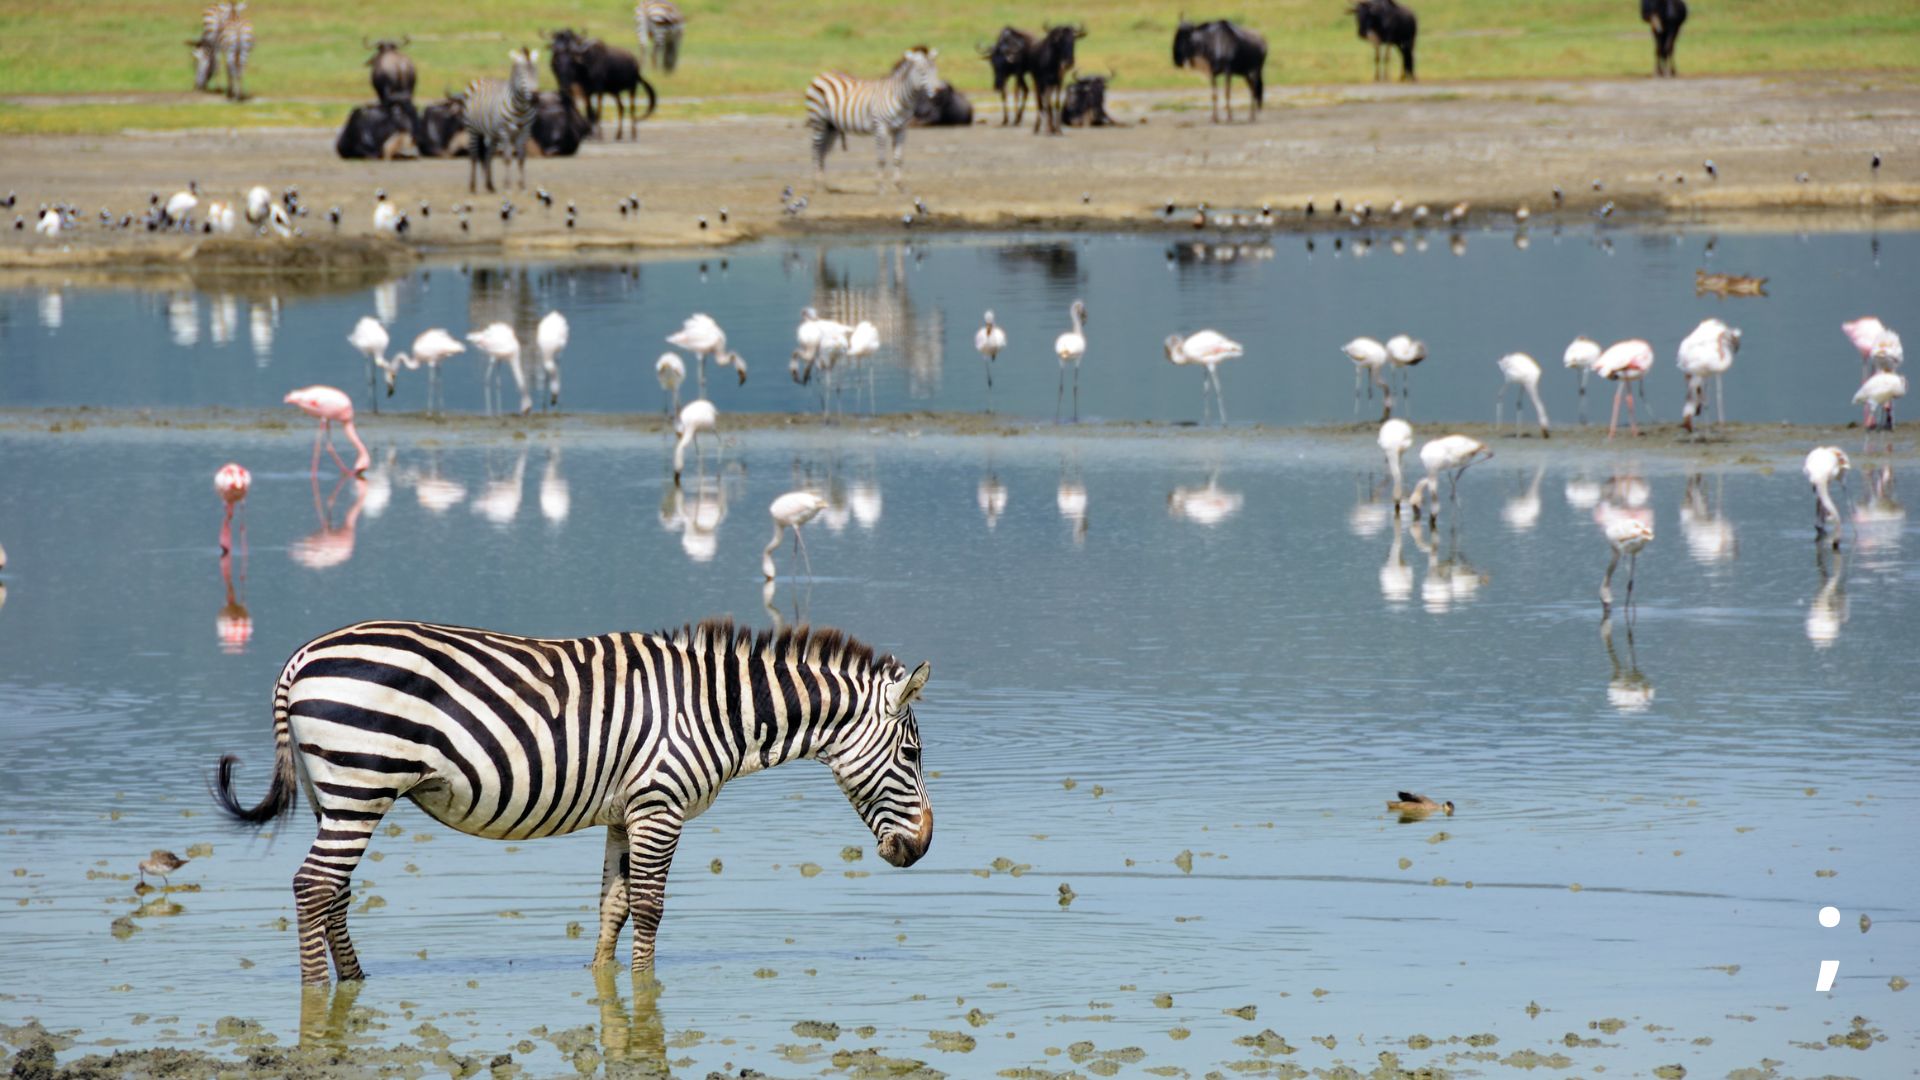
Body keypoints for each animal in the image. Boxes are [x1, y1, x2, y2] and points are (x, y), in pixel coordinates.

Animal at [217, 614, 936, 976]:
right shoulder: (660, 806)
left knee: (332, 891)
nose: (925, 846)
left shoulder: (626, 812)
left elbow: (612, 907)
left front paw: (603, 981)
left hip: (336, 794)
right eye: (913, 755)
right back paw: (318, 994)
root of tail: (301, 657)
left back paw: (355, 981)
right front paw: (645, 990)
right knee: (312, 886)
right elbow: (649, 908)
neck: (713, 710)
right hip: (361, 783)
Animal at [466, 49, 545, 193]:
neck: (520, 108)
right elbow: (507, 159)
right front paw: (507, 186)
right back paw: (473, 187)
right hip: (472, 129)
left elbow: (521, 159)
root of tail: (484, 78)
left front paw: (522, 186)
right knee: (473, 155)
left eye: (536, 72)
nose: (535, 98)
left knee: (488, 155)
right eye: (521, 74)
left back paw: (490, 185)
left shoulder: (524, 132)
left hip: (493, 134)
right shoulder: (505, 132)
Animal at [802, 46, 936, 193]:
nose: (937, 90)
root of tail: (822, 74)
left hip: (831, 126)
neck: (899, 97)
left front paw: (900, 186)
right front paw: (881, 187)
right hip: (818, 121)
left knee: (822, 152)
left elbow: (898, 158)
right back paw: (817, 186)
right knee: (815, 150)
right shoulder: (881, 126)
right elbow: (881, 159)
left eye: (935, 71)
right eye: (922, 72)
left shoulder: (901, 128)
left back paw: (823, 185)